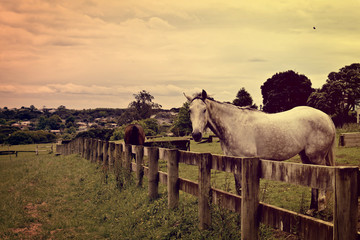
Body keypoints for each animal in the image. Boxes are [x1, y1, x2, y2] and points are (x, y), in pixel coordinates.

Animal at [184, 89, 336, 211]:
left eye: (204, 110)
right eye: (190, 110)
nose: (196, 134)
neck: (234, 125)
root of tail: (327, 118)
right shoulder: (234, 163)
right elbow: (238, 189)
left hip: (317, 158)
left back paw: (321, 206)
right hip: (305, 157)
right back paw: (312, 209)